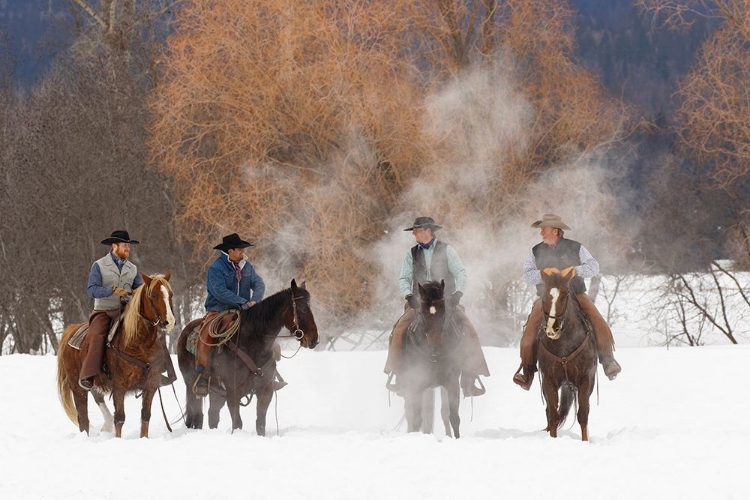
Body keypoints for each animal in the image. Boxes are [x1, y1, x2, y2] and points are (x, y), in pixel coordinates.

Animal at [56, 274, 176, 438]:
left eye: (170, 294)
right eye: (154, 295)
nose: (169, 322)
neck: (138, 343)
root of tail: (71, 330)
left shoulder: (151, 385)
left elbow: (145, 415)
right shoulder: (119, 387)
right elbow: (119, 418)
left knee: (98, 399)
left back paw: (106, 426)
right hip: (77, 386)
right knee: (83, 418)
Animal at [178, 280, 320, 436]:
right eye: (303, 308)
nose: (314, 340)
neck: (251, 342)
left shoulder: (265, 390)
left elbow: (260, 423)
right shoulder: (233, 392)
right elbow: (237, 423)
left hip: (217, 391)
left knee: (212, 415)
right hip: (191, 385)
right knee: (197, 414)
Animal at [400, 280, 464, 440]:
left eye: (444, 313)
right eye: (422, 313)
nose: (435, 346)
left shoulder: (452, 382)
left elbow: (453, 417)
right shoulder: (417, 382)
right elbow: (417, 418)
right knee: (411, 412)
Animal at [540, 268, 600, 440]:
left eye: (565, 295)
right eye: (544, 295)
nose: (552, 328)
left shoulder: (586, 380)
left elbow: (583, 415)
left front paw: (585, 441)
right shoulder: (548, 380)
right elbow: (553, 415)